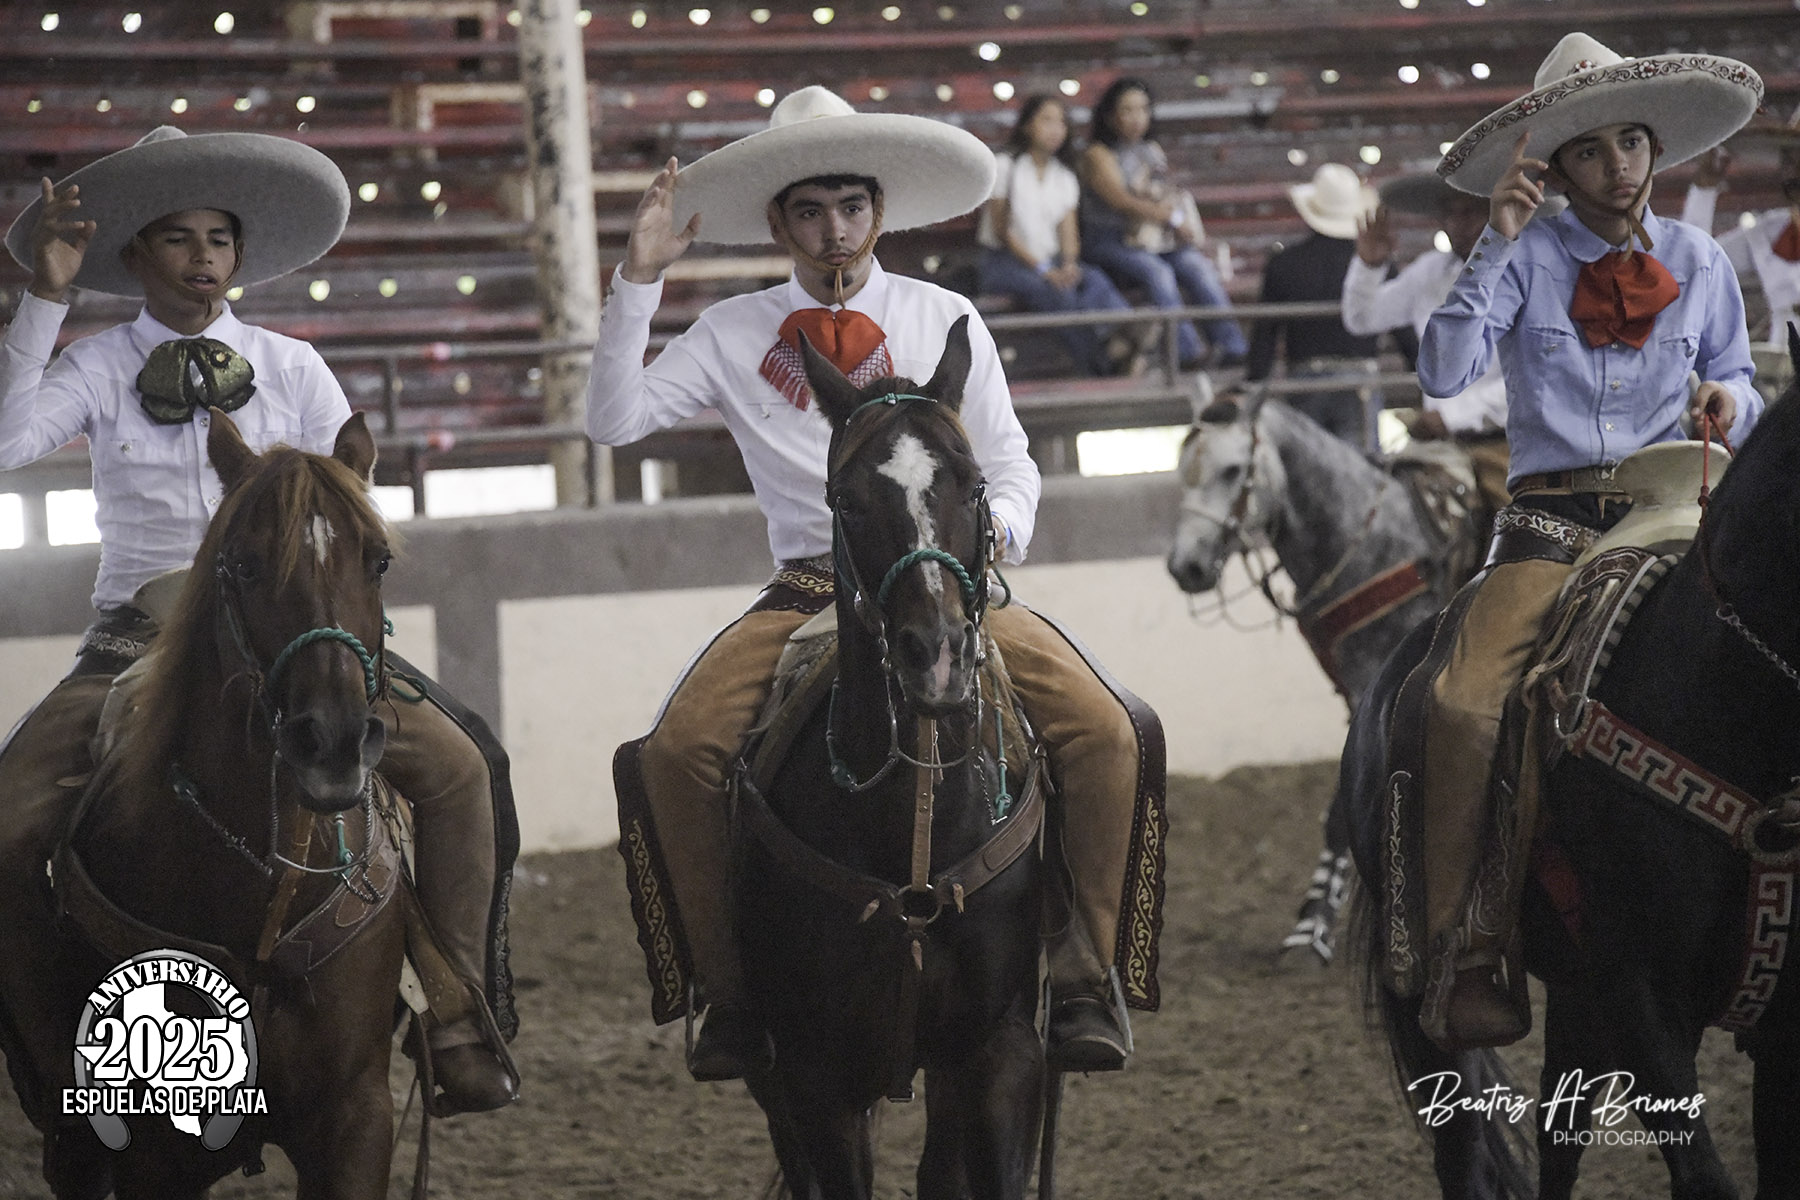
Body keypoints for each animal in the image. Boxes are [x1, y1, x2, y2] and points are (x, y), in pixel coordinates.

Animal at [1166, 384, 1486, 963]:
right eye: (1184, 471)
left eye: (1233, 469)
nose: (1187, 567)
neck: (1375, 541)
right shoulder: (1352, 692)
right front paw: (1314, 918)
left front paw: (1316, 923)